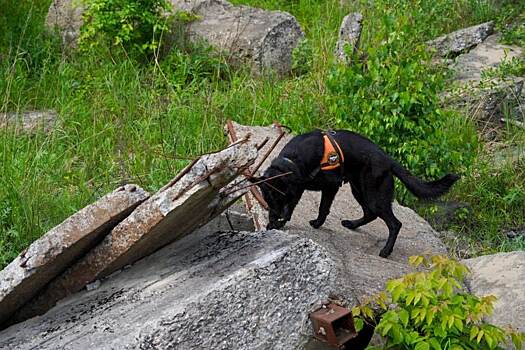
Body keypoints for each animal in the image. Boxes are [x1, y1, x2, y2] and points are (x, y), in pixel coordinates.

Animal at [252, 130, 456, 258]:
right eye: (270, 198)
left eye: (282, 198)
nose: (278, 215)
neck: (292, 160)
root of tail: (388, 159)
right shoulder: (299, 189)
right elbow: (302, 209)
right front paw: (277, 222)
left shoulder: (328, 187)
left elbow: (321, 208)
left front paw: (295, 223)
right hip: (359, 190)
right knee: (370, 214)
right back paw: (352, 224)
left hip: (373, 195)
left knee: (394, 223)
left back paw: (386, 251)